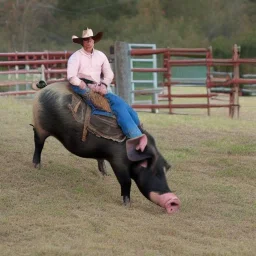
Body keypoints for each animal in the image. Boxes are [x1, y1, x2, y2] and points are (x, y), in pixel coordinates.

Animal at [31, 82, 180, 214]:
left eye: (165, 171)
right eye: (154, 172)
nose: (174, 200)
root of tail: (43, 89)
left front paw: (106, 175)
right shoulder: (118, 161)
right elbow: (126, 182)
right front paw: (127, 204)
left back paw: (105, 173)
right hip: (40, 127)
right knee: (38, 144)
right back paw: (37, 166)